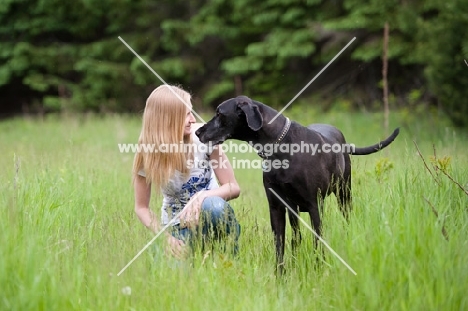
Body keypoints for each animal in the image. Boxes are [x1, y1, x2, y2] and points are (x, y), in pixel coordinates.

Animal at [195, 95, 398, 272]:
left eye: (219, 114)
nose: (197, 132)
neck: (281, 148)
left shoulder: (314, 205)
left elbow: (318, 239)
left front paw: (318, 267)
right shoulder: (276, 206)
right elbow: (280, 245)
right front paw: (280, 276)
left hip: (344, 194)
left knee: (345, 218)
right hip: (295, 210)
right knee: (296, 237)